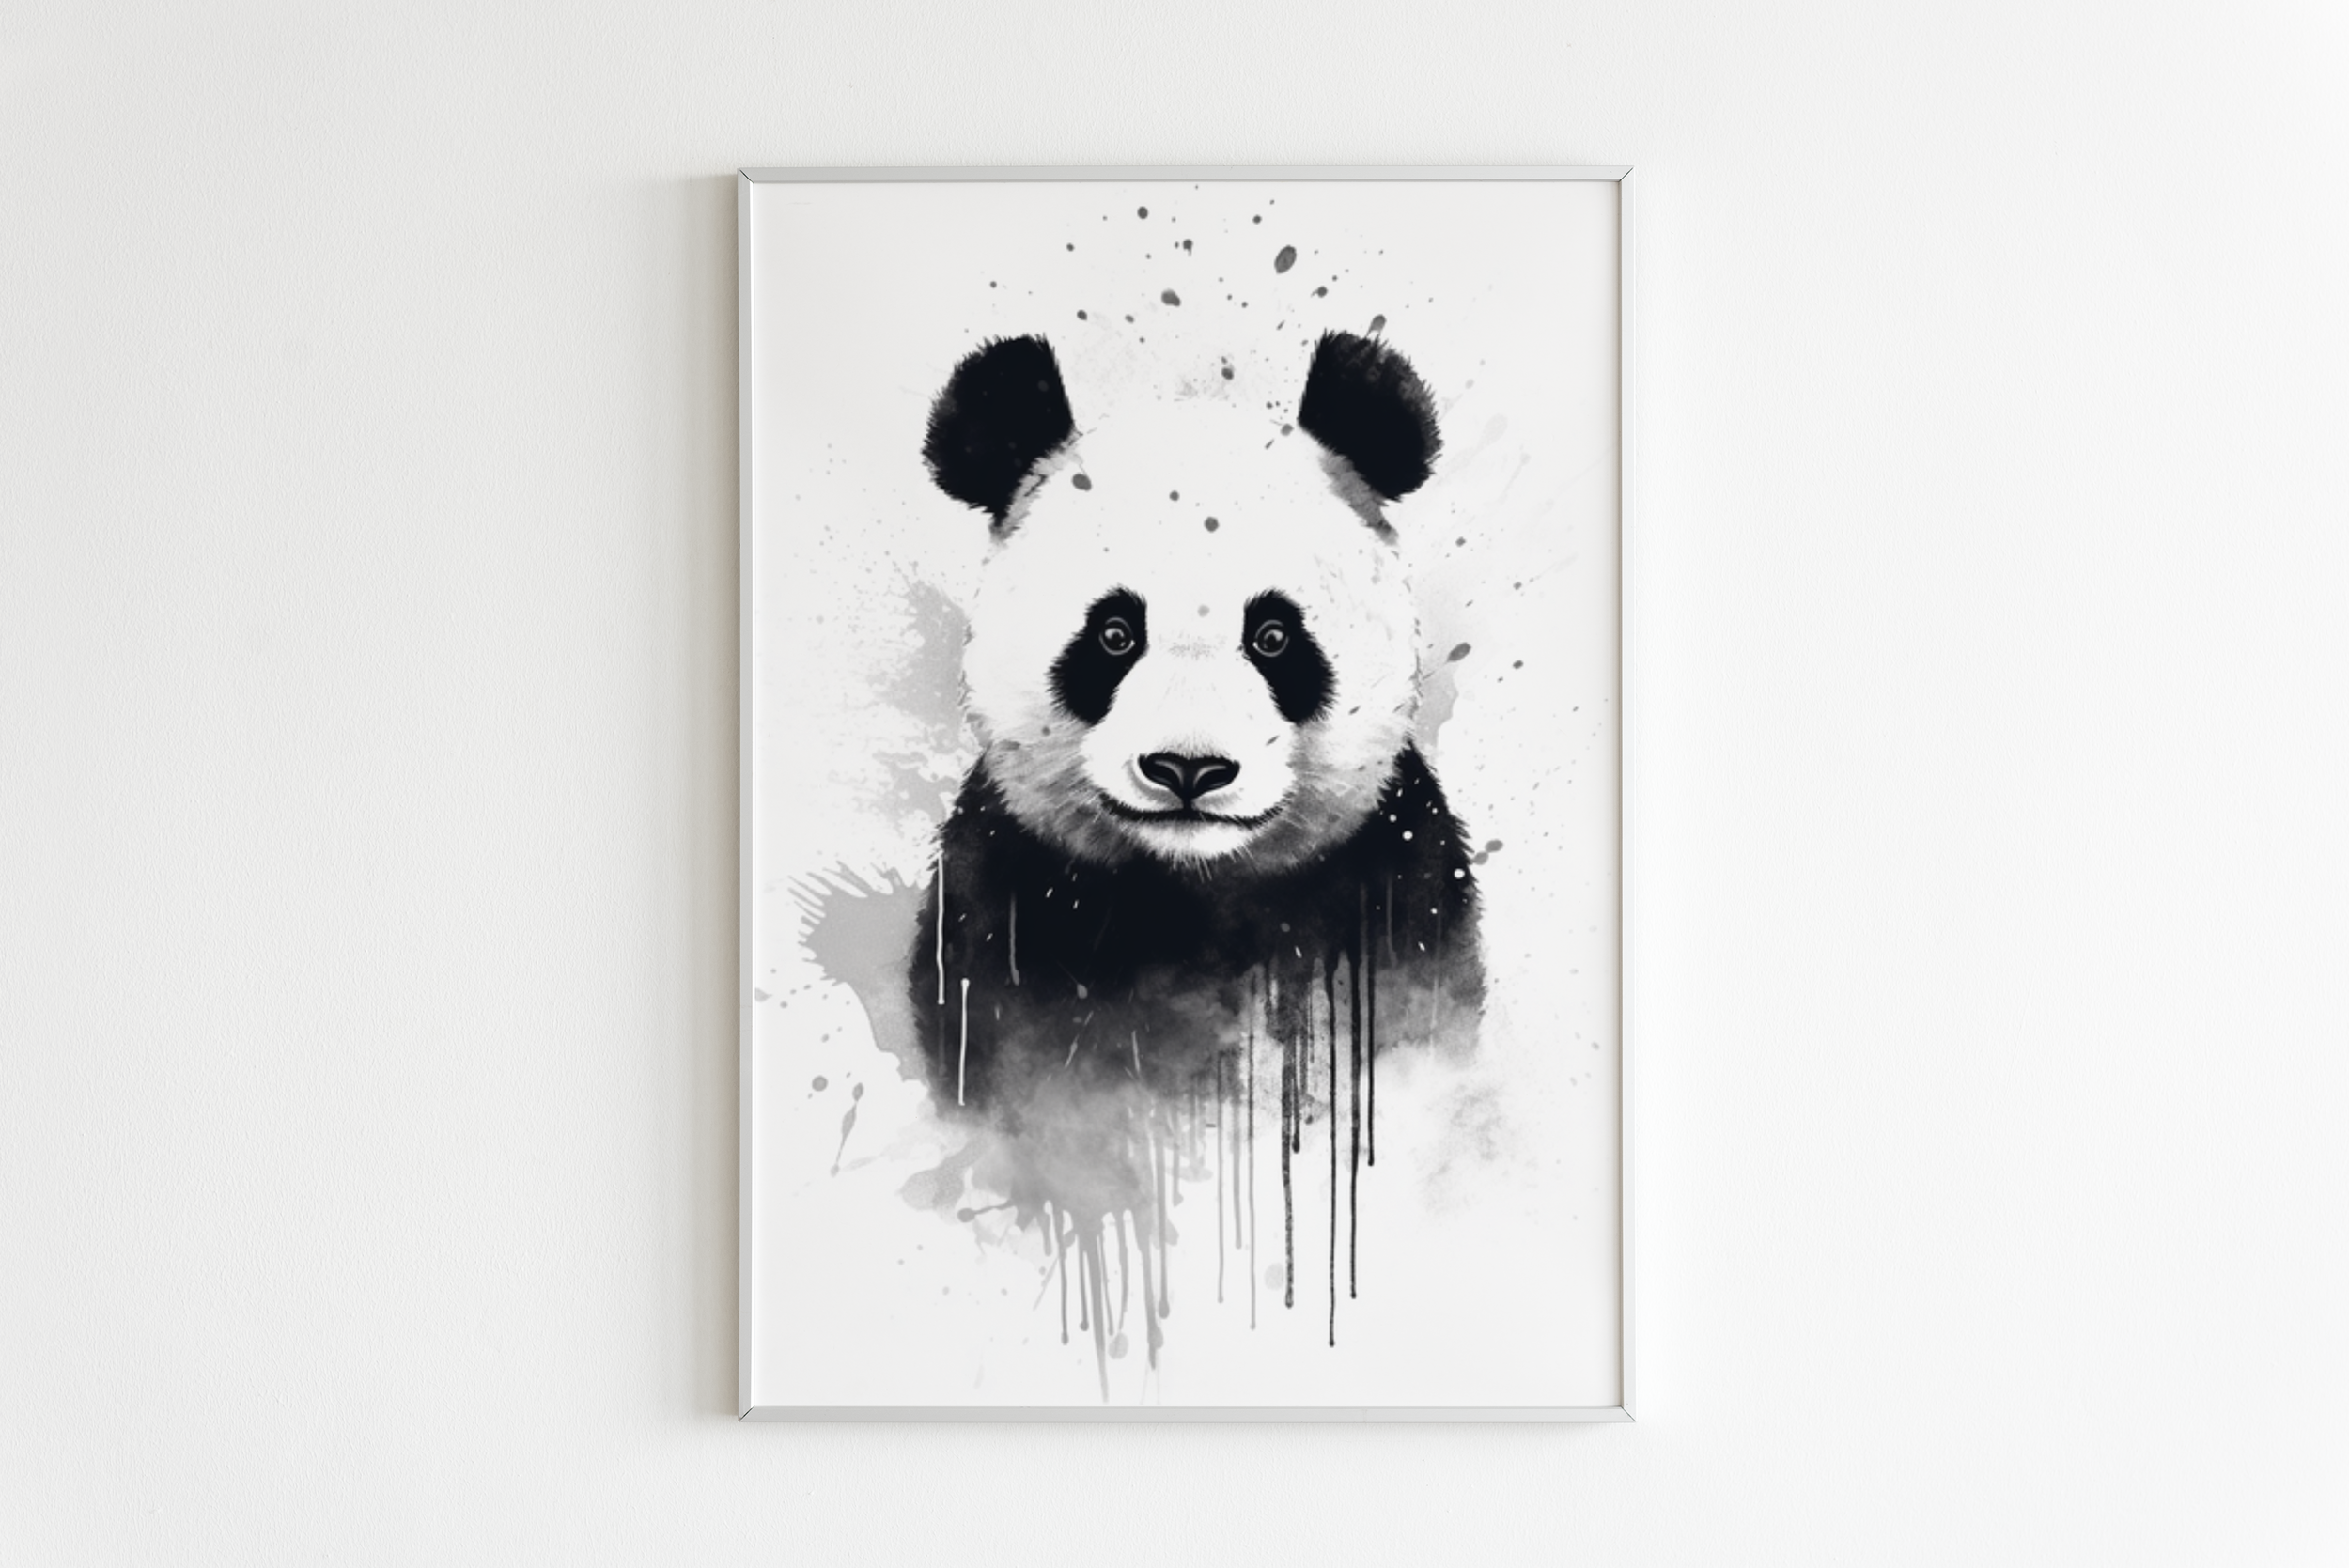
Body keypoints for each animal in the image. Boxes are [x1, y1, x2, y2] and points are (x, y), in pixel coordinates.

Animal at [909, 329, 1482, 1118]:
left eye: (1273, 636)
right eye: (1114, 634)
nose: (1188, 768)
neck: (1193, 886)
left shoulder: (1396, 884)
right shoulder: (1003, 900)